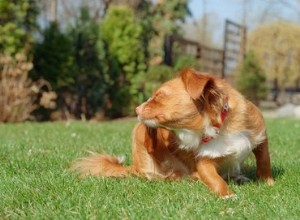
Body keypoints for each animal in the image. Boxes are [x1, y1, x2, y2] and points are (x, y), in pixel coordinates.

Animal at [71, 69, 274, 198]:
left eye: (158, 96)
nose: (136, 109)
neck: (219, 129)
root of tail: (134, 166)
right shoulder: (204, 161)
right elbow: (214, 179)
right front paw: (227, 195)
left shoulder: (260, 136)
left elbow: (264, 161)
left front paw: (268, 183)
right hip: (140, 136)